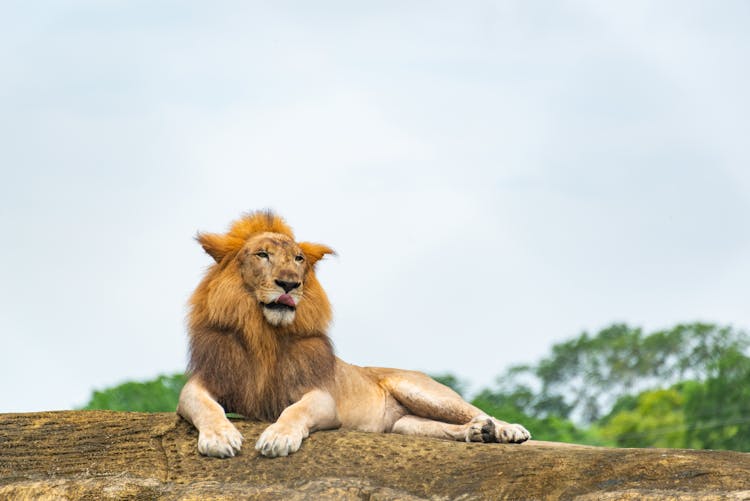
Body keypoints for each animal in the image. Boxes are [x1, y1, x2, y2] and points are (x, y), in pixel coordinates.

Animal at [178, 211, 532, 458]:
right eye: (262, 255)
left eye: (298, 259)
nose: (290, 284)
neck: (263, 331)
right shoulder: (201, 384)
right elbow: (206, 407)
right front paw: (220, 437)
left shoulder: (322, 397)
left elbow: (295, 410)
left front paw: (278, 437)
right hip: (404, 425)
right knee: (442, 427)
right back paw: (477, 433)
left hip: (422, 391)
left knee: (477, 410)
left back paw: (506, 430)